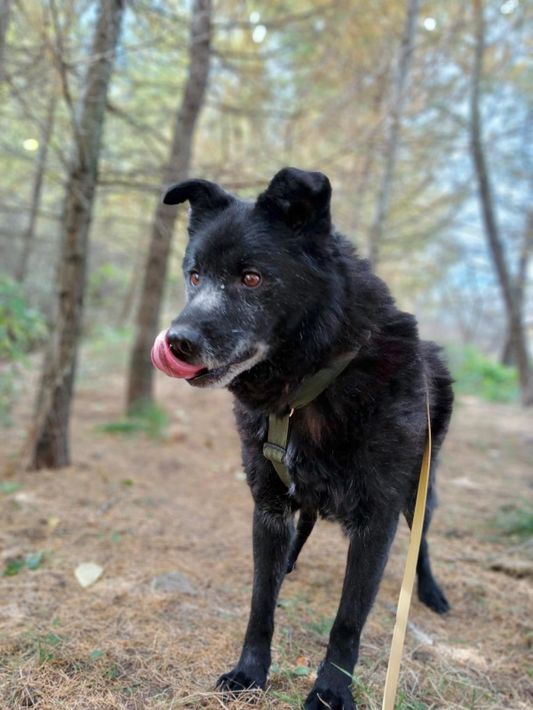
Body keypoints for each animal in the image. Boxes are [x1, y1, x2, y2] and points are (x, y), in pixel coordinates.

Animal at [151, 167, 453, 709]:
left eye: (252, 278)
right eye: (194, 275)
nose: (177, 342)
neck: (310, 389)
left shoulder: (377, 522)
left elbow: (347, 622)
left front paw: (331, 690)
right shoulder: (268, 506)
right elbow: (260, 603)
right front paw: (249, 672)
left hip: (422, 492)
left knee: (422, 544)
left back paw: (431, 593)